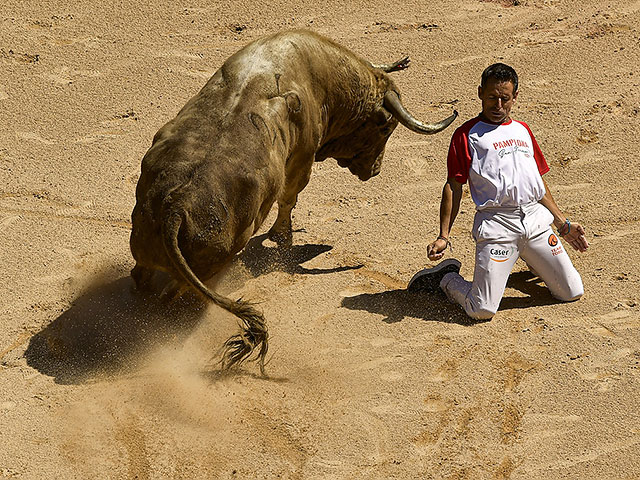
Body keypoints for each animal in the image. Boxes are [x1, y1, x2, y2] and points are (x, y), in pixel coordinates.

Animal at [130, 30, 458, 376]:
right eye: (385, 127)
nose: (376, 170)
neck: (321, 74)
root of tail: (176, 208)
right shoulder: (302, 157)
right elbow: (289, 197)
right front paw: (282, 236)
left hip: (145, 247)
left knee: (143, 279)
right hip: (210, 262)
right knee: (172, 293)